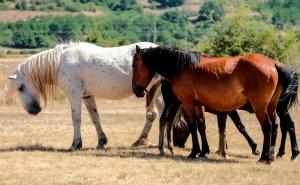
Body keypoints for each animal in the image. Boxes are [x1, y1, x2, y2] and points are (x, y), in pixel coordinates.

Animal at [4, 42, 163, 150]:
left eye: (20, 88)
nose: (34, 110)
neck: (60, 62)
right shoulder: (87, 96)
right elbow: (95, 118)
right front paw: (101, 142)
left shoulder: (74, 94)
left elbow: (76, 119)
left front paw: (75, 144)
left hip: (152, 92)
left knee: (151, 114)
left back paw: (140, 141)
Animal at [133, 45, 296, 164]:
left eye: (135, 65)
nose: (137, 90)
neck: (182, 67)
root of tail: (274, 64)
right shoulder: (198, 105)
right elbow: (201, 125)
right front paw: (204, 151)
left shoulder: (188, 102)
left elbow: (193, 125)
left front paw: (194, 152)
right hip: (272, 107)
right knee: (276, 126)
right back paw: (272, 155)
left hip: (260, 108)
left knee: (268, 127)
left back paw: (265, 157)